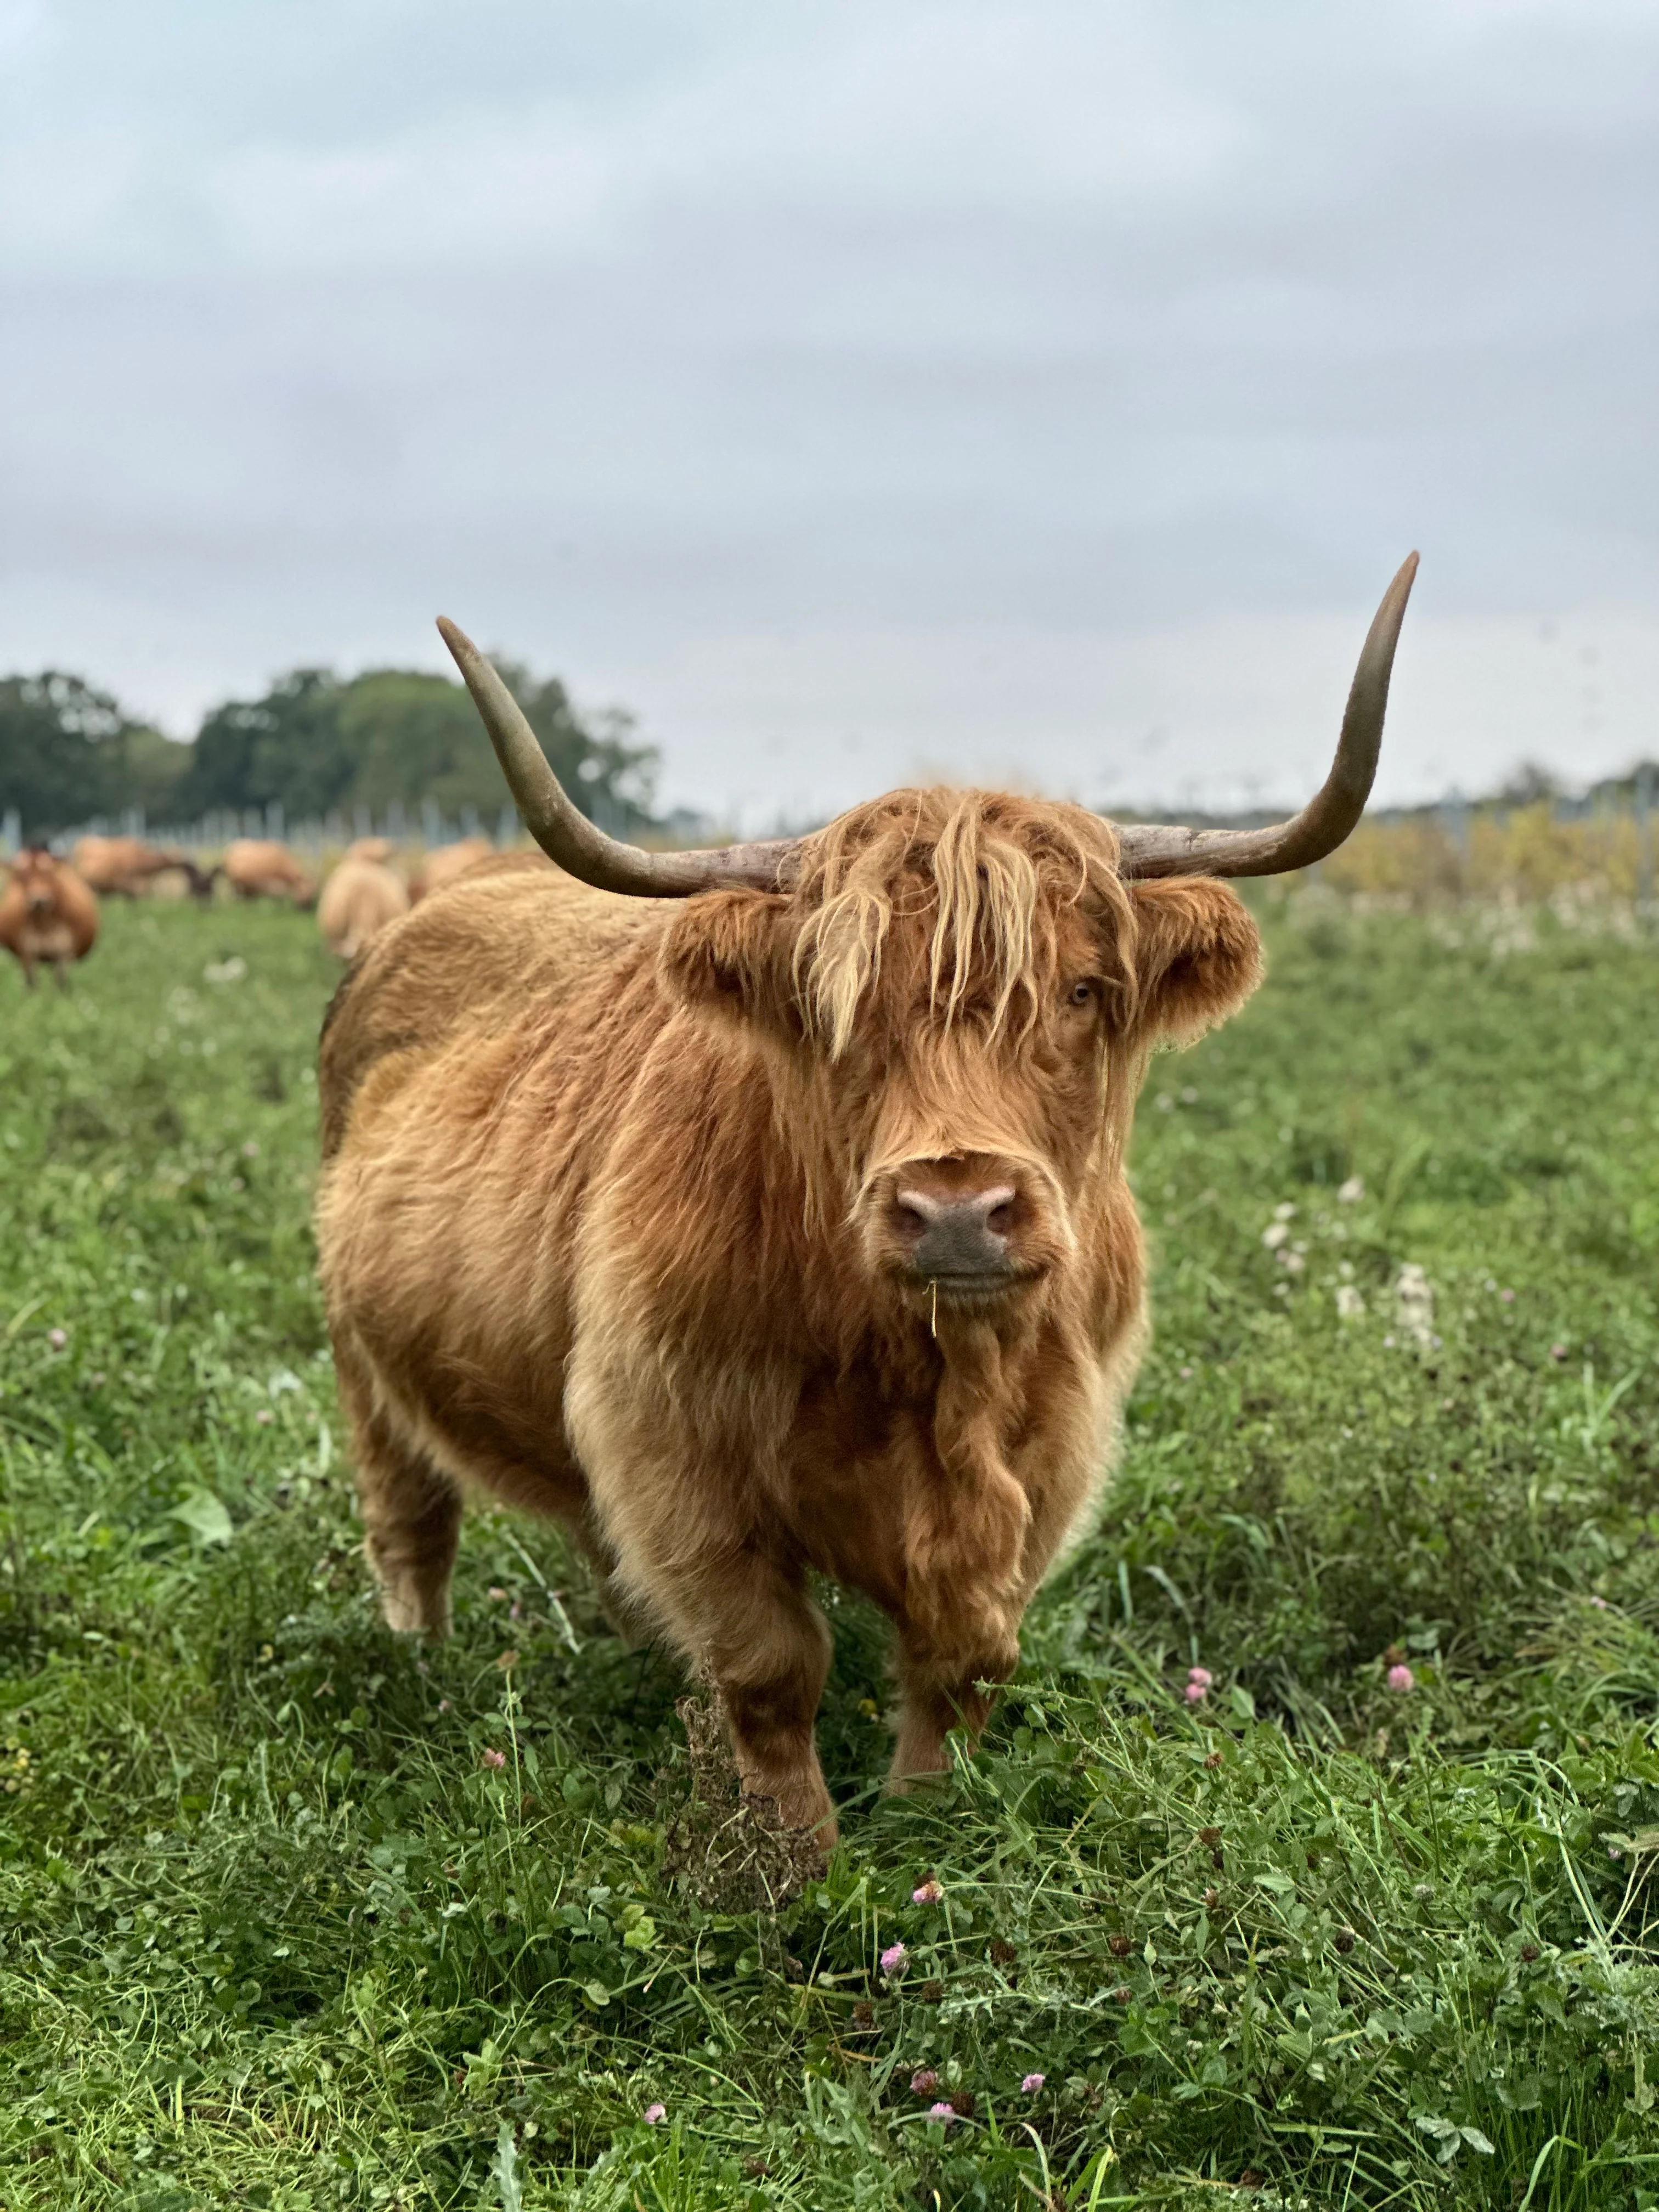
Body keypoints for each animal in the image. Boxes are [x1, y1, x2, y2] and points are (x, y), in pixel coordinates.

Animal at [0, 848, 100, 988]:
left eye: (48, 874)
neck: (45, 926)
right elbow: (33, 985)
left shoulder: (64, 955)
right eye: (22, 876)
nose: (38, 899)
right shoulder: (27, 955)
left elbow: (61, 984)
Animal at [221, 839, 316, 906]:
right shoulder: (271, 882)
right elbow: (278, 895)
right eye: (304, 890)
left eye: (312, 891)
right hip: (234, 883)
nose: (309, 907)